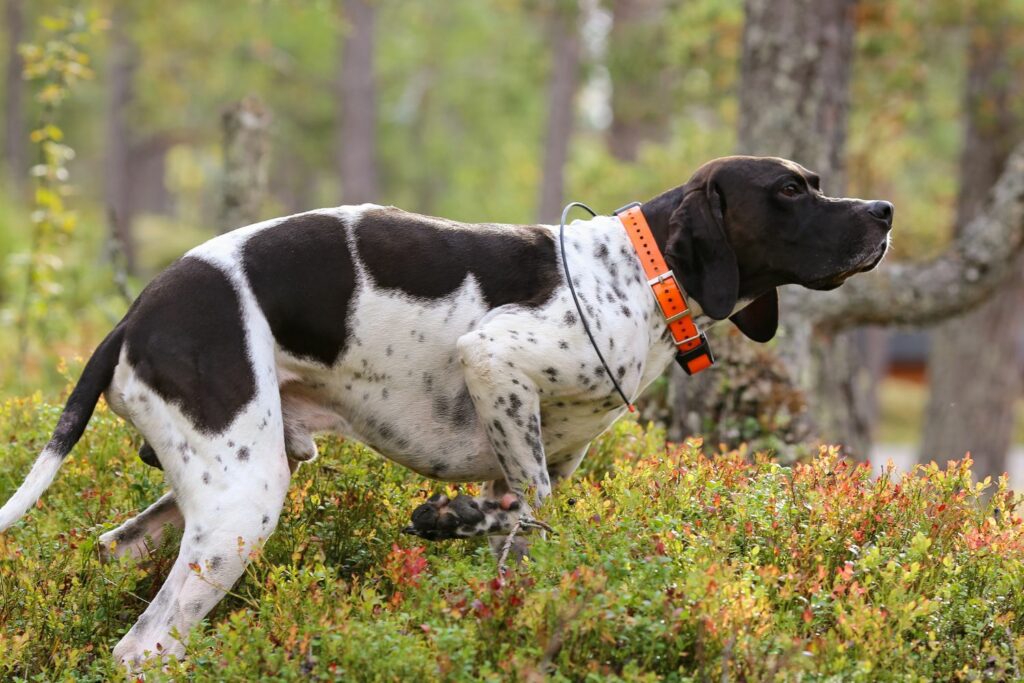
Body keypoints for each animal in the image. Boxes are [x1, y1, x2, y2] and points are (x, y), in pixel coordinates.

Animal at [0, 157, 888, 663]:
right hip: (243, 505)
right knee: (145, 644)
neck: (638, 271)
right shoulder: (494, 360)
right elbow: (530, 508)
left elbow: (519, 522)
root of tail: (133, 315)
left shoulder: (525, 447)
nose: (882, 212)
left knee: (118, 549)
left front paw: (460, 526)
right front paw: (445, 515)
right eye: (788, 189)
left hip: (234, 475)